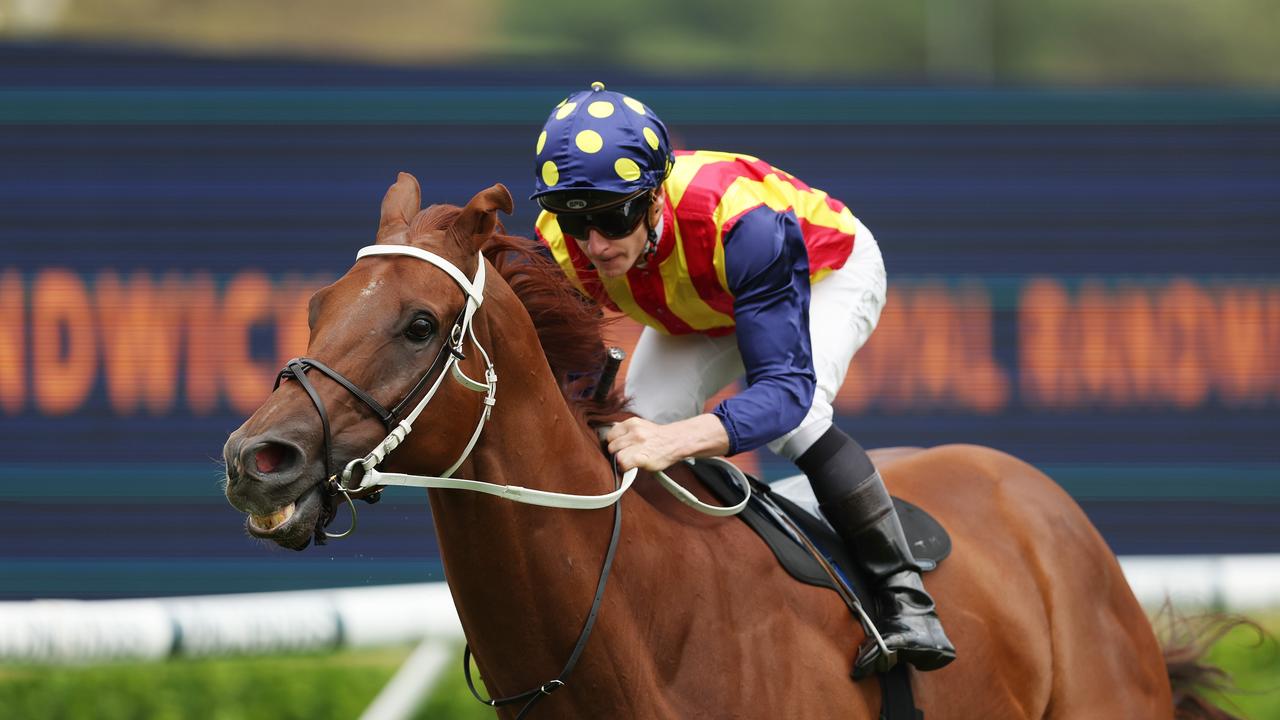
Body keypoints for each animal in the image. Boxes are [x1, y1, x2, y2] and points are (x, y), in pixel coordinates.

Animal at [225, 174, 1233, 717]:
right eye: (317, 306)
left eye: (420, 324)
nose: (256, 459)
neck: (627, 631)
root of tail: (1041, 499)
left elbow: (787, 397)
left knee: (804, 411)